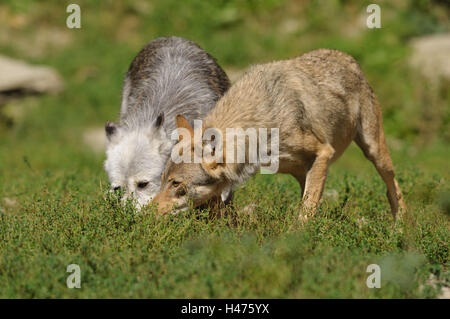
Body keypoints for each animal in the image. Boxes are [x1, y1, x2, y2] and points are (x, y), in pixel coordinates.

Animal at [153, 48, 406, 221]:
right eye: (163, 180)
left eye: (176, 184)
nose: (147, 211)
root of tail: (348, 58)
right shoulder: (301, 169)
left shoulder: (323, 152)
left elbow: (305, 212)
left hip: (374, 152)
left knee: (392, 187)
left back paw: (400, 227)